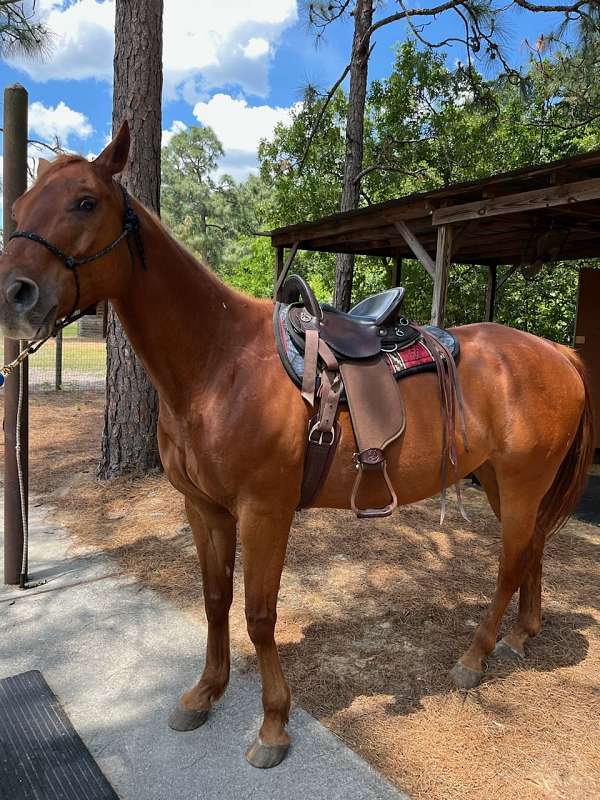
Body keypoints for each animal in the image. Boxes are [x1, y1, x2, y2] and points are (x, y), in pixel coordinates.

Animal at [0, 125, 592, 768]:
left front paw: (273, 725)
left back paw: (474, 657)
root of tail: (558, 353)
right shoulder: (204, 508)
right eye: (17, 208)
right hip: (501, 483)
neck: (219, 364)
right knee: (532, 551)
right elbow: (214, 598)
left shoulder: (265, 511)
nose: (13, 294)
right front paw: (204, 693)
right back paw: (520, 636)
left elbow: (259, 615)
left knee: (511, 563)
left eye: (85, 202)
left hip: (521, 481)